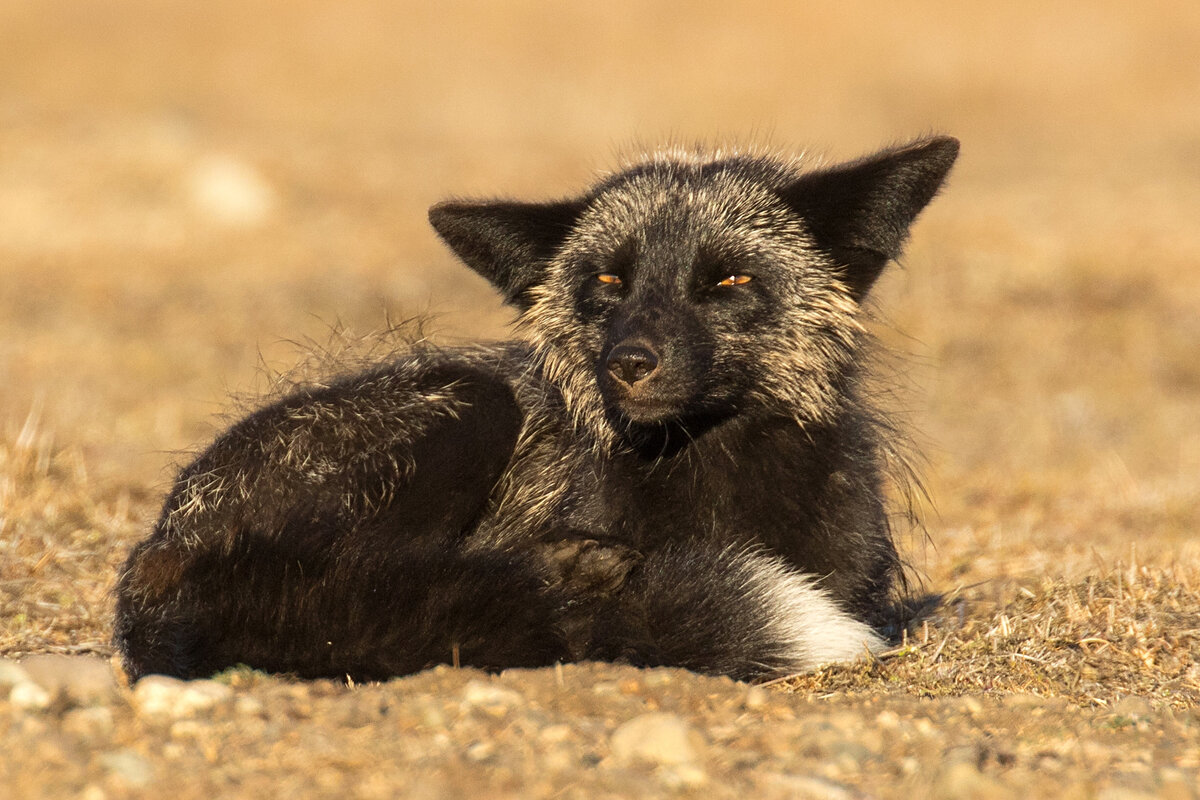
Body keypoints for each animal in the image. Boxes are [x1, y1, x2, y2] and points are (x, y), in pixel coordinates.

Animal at [112, 136, 955, 681]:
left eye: (729, 282)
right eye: (609, 282)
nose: (629, 364)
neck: (713, 507)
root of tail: (156, 555)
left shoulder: (854, 587)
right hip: (473, 402)